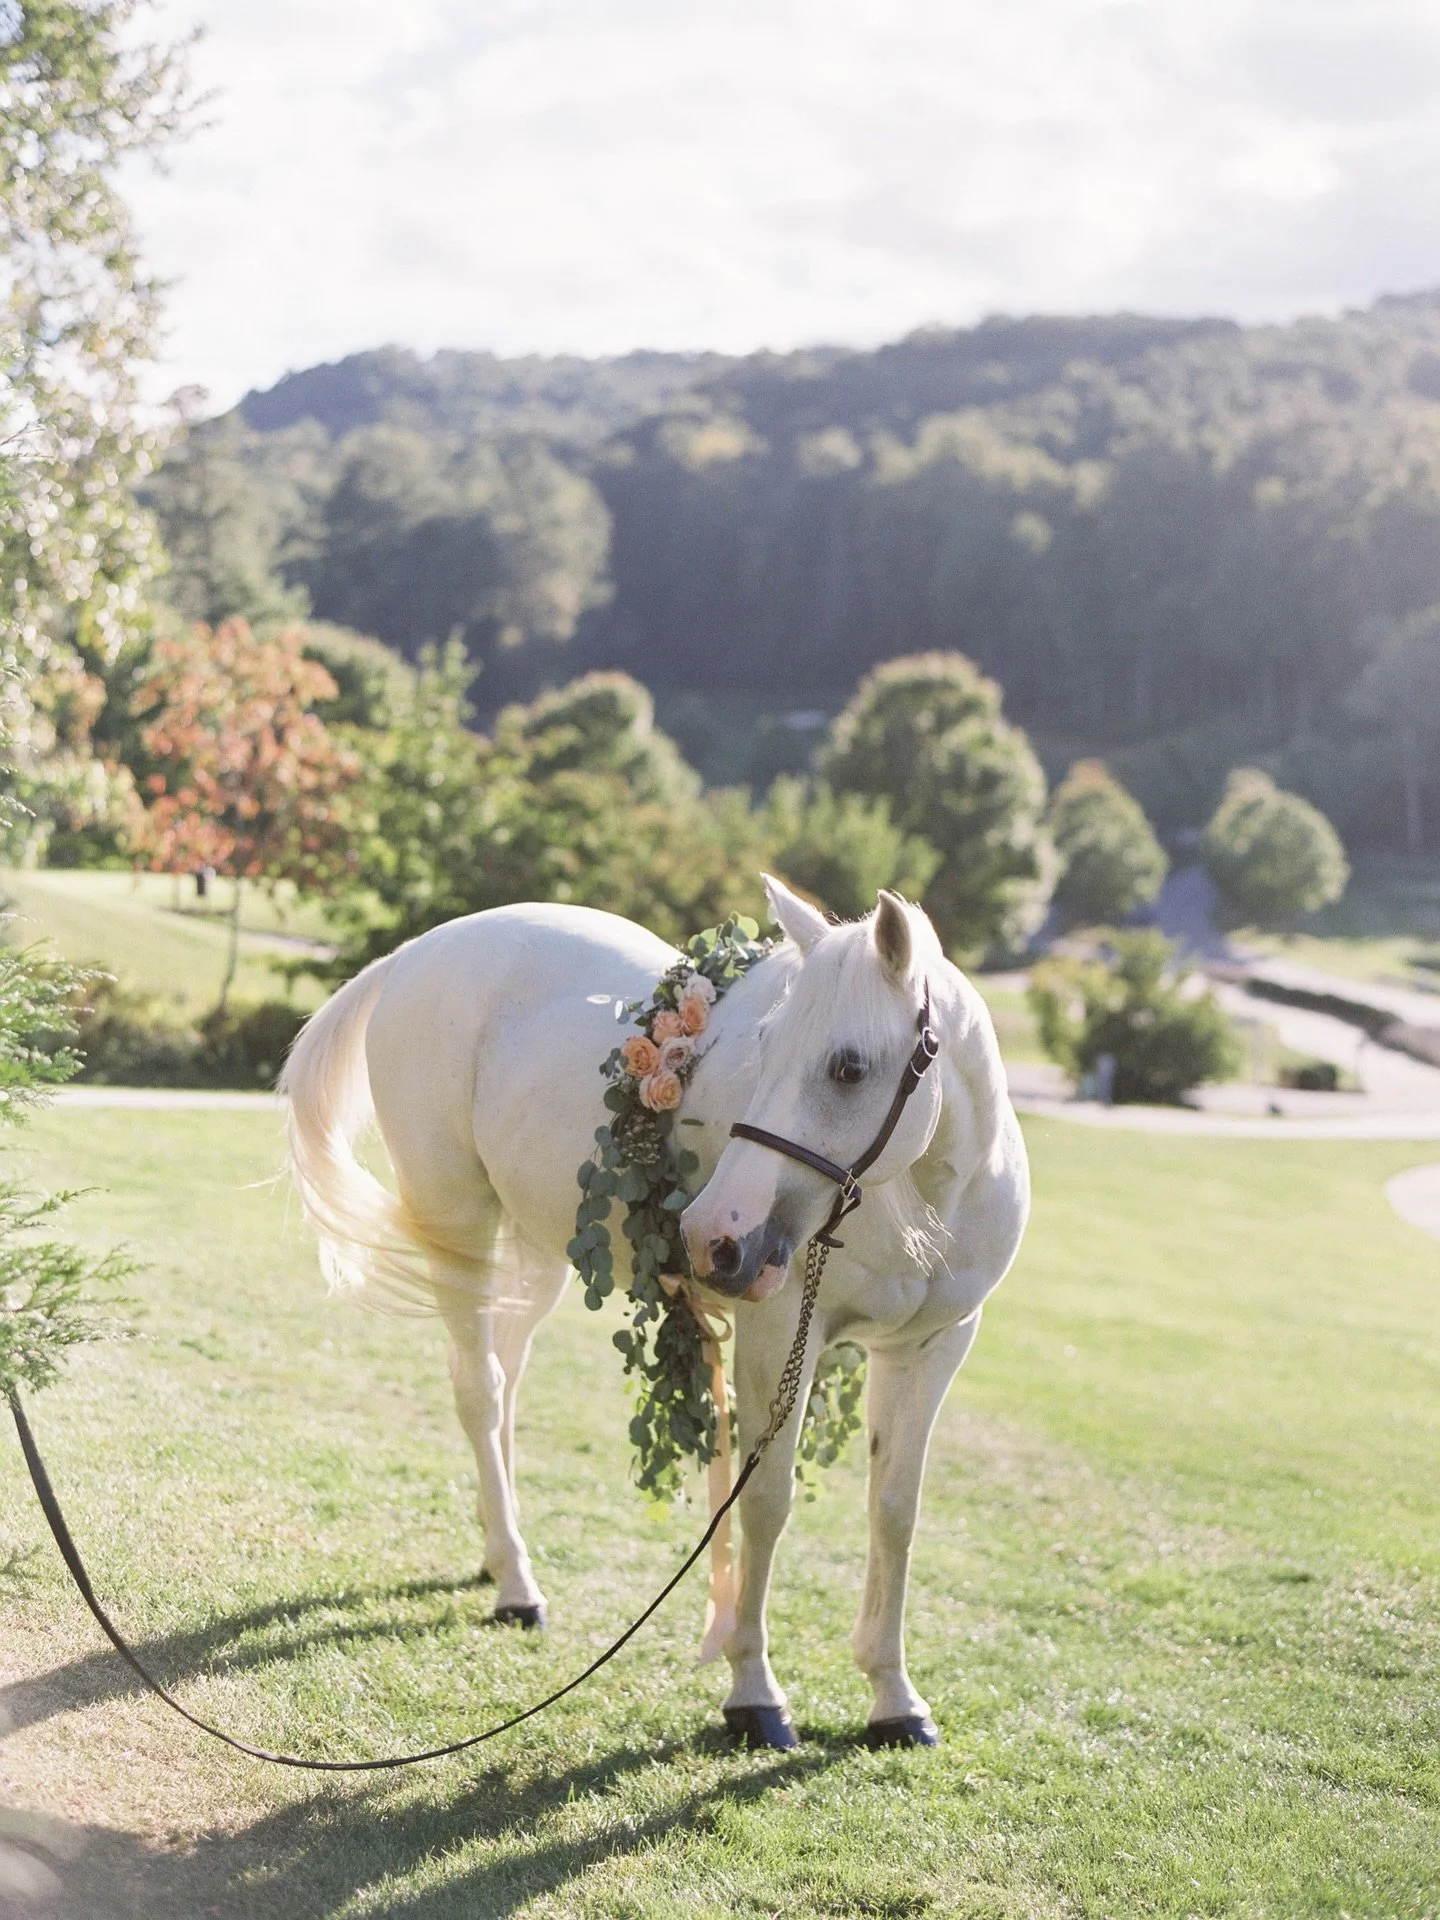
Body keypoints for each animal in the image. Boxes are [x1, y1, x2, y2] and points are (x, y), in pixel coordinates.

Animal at [280, 875, 1029, 1750]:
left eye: (848, 1067)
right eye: (765, 1045)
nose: (715, 1237)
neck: (923, 1204)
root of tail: (417, 954)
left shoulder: (930, 1350)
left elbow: (895, 1514)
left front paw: (894, 1699)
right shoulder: (780, 1337)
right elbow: (764, 1506)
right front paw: (754, 1694)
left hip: (535, 1257)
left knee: (504, 1384)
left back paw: (501, 1556)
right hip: (461, 1229)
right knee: (478, 1390)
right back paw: (516, 1587)